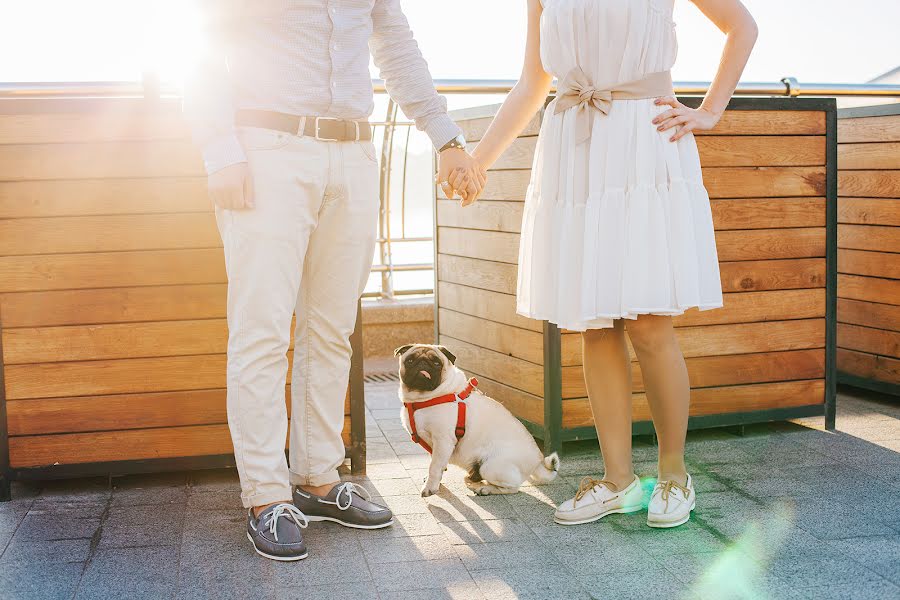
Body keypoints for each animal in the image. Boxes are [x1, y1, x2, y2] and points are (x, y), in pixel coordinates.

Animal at [398, 342, 560, 496]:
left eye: (437, 363)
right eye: (410, 360)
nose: (423, 363)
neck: (422, 398)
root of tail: (537, 461)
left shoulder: (442, 441)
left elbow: (435, 466)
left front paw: (430, 487)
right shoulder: (435, 446)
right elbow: (436, 463)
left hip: (491, 467)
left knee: (513, 488)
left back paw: (486, 489)